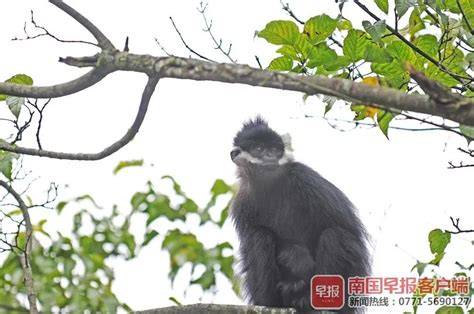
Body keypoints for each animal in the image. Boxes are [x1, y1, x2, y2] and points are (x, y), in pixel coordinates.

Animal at [230, 116, 370, 312]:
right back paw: (271, 300)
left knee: (335, 235)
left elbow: (349, 230)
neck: (270, 185)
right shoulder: (242, 202)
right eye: (259, 149)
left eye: (275, 150)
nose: (270, 156)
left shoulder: (304, 177)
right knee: (257, 235)